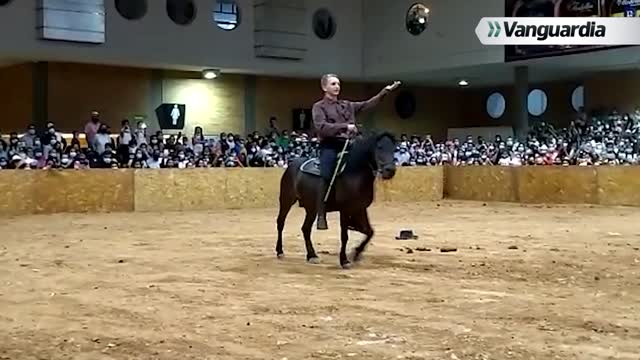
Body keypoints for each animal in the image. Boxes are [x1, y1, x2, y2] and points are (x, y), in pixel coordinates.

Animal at [274, 131, 396, 268]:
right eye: (380, 147)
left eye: (393, 149)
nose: (390, 170)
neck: (354, 173)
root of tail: (292, 165)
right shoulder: (345, 210)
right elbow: (345, 236)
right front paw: (344, 260)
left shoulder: (360, 208)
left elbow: (369, 231)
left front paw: (356, 253)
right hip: (286, 200)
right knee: (281, 223)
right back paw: (280, 251)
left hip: (311, 208)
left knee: (305, 229)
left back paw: (312, 255)